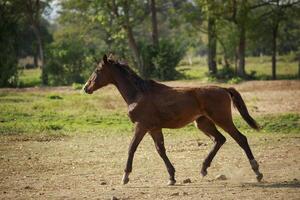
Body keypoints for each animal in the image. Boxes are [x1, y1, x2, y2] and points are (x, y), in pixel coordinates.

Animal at [84, 55, 262, 186]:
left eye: (98, 69)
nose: (86, 87)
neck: (138, 94)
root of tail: (224, 89)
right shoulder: (154, 128)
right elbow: (160, 150)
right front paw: (171, 177)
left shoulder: (141, 126)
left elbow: (131, 148)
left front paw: (125, 177)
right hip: (203, 122)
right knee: (219, 139)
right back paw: (203, 169)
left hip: (222, 119)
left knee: (240, 139)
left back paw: (257, 172)